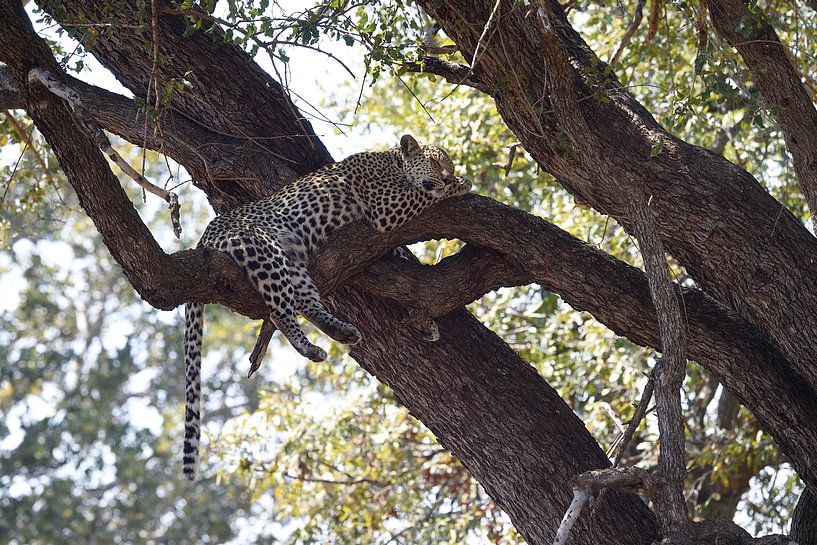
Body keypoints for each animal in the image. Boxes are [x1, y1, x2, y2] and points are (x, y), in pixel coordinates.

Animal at [182, 134, 471, 479]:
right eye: (437, 162)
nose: (446, 175)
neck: (392, 162)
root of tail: (203, 238)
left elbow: (402, 254)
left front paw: (425, 324)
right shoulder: (386, 206)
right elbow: (423, 195)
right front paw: (460, 184)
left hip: (293, 262)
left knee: (306, 301)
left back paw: (340, 332)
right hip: (265, 251)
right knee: (279, 311)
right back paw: (309, 346)